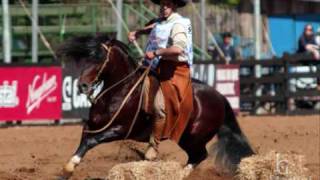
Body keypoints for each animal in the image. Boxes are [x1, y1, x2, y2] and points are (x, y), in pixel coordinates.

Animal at [56, 34, 254, 179]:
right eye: (85, 58)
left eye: (100, 57)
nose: (82, 86)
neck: (120, 91)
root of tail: (220, 97)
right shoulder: (91, 125)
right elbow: (84, 141)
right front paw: (66, 170)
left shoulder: (119, 129)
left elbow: (91, 141)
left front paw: (68, 168)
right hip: (186, 137)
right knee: (196, 156)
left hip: (194, 137)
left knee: (200, 155)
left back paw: (180, 173)